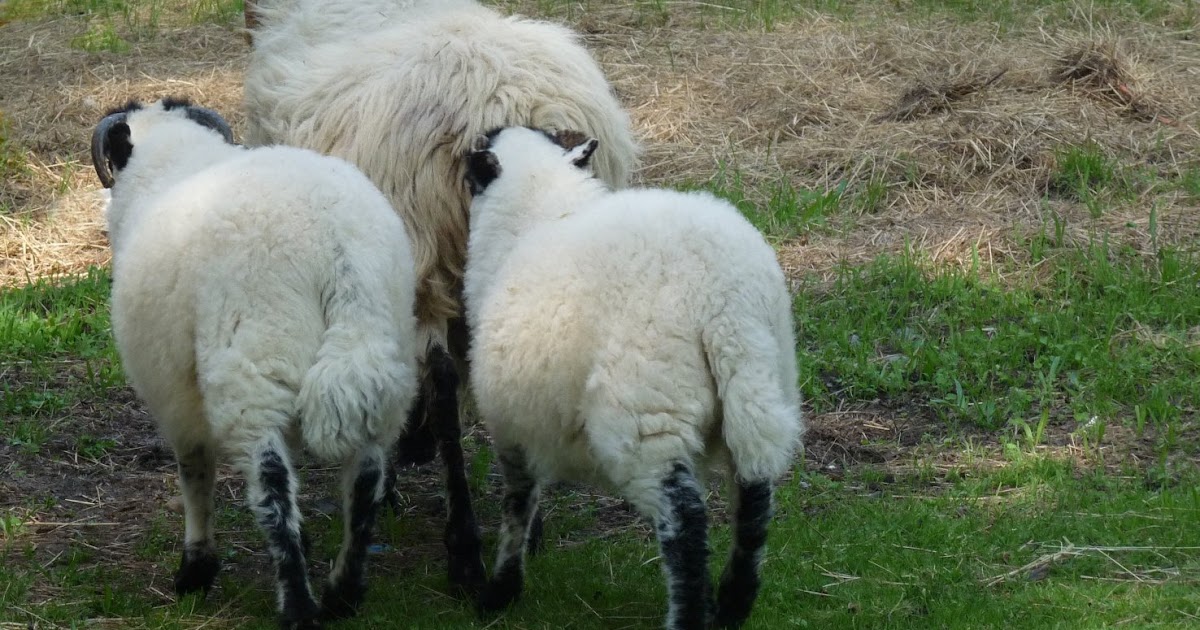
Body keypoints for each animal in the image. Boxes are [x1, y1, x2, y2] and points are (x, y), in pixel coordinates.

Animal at [91, 98, 419, 629]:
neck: (172, 161)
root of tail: (340, 254)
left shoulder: (174, 393)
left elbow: (194, 471)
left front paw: (196, 568)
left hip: (251, 368)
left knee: (271, 484)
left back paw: (298, 605)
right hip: (384, 359)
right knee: (366, 476)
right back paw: (343, 591)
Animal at [462, 126, 804, 630]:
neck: (540, 205)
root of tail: (724, 300)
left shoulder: (510, 421)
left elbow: (518, 501)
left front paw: (501, 590)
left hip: (649, 409)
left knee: (685, 520)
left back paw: (688, 615)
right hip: (762, 386)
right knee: (754, 496)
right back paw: (731, 605)